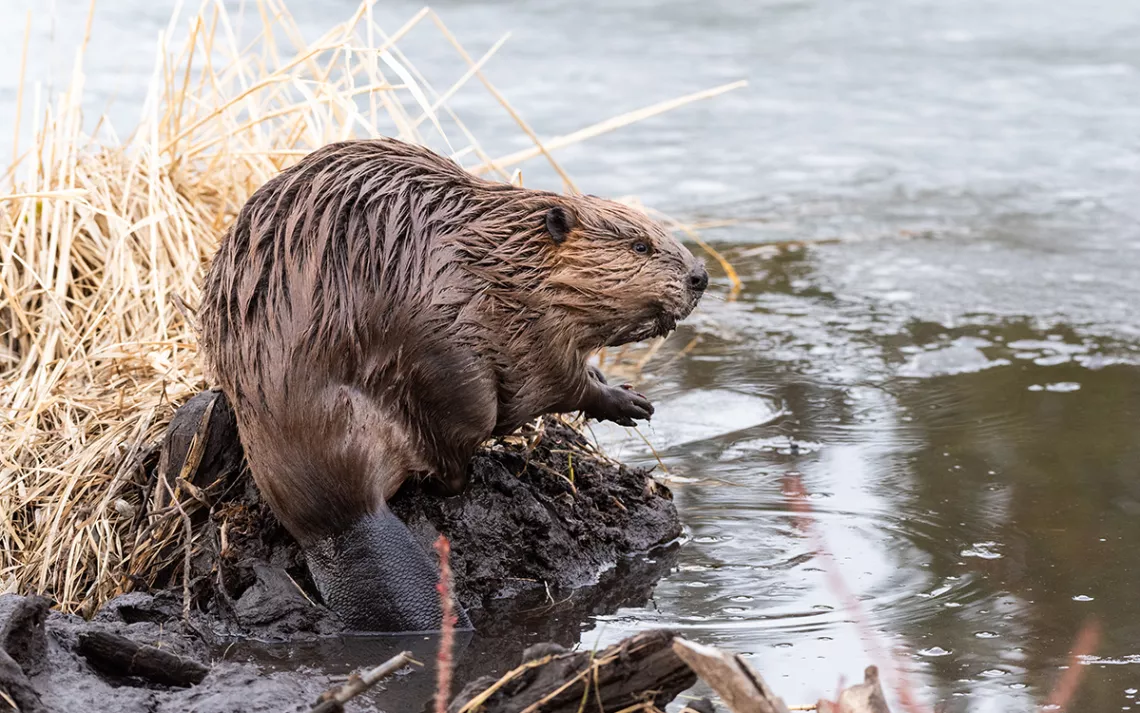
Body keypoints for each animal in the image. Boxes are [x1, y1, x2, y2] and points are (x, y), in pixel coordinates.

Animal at [200, 137, 706, 629]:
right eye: (640, 246)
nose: (700, 275)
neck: (506, 257)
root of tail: (342, 521)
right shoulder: (529, 331)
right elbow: (555, 382)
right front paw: (628, 401)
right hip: (452, 373)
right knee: (452, 461)